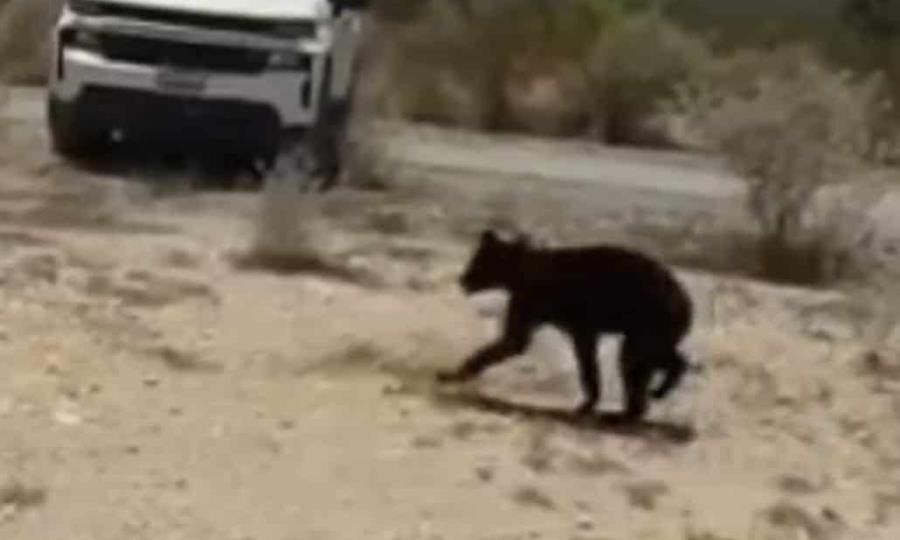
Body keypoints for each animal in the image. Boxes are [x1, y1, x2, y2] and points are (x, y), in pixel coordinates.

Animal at [437, 230, 694, 421]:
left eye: (478, 259)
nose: (463, 279)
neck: (519, 274)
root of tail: (685, 299)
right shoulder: (577, 328)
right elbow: (586, 363)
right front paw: (588, 401)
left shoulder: (548, 311)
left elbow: (512, 342)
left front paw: (453, 373)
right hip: (652, 330)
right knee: (651, 361)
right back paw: (640, 402)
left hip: (649, 321)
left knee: (637, 361)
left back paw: (641, 401)